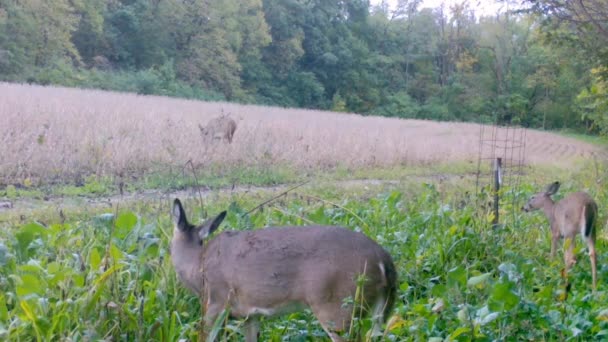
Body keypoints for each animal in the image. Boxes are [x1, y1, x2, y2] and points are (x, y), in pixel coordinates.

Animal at [171, 198, 400, 342]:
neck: (197, 265)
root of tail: (384, 260)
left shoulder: (216, 300)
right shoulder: (250, 313)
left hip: (337, 305)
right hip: (382, 308)